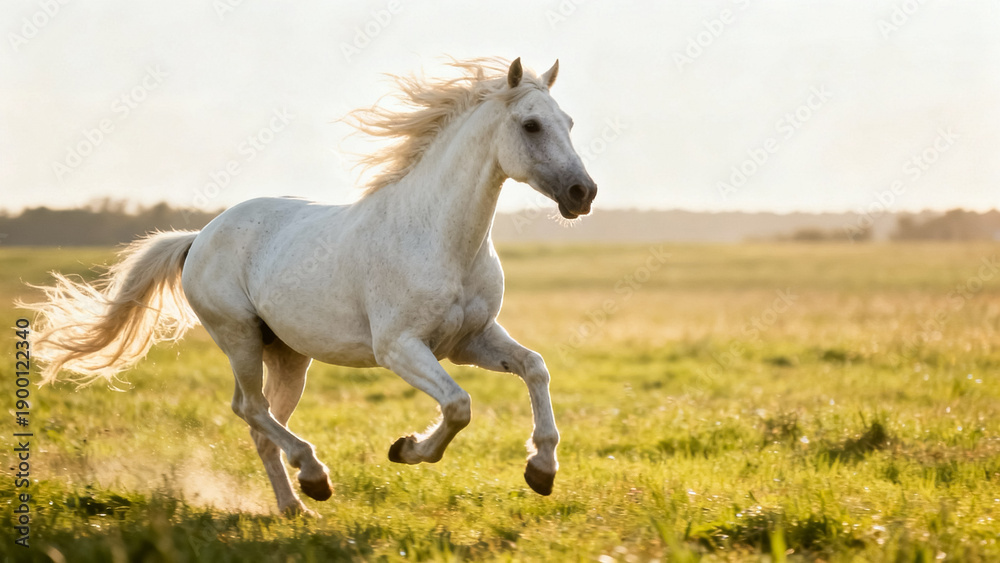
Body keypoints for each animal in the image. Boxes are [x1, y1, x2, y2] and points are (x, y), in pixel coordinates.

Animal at [25, 57, 598, 516]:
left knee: (261, 426)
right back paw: (315, 478)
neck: (439, 237)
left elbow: (534, 368)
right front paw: (406, 449)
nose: (583, 193)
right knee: (250, 409)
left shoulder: (469, 341)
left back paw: (296, 506)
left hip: (288, 356)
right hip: (239, 336)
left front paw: (541, 470)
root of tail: (200, 237)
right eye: (530, 124)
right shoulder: (399, 347)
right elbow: (459, 405)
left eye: (569, 122)